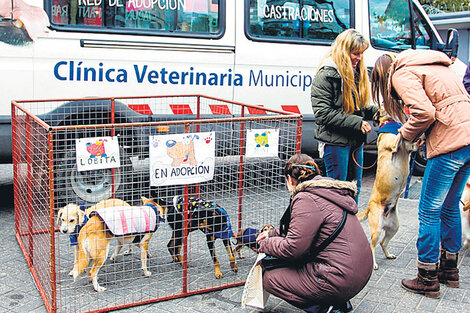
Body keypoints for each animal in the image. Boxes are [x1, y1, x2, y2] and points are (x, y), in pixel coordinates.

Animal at [358, 109, 416, 268]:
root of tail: (369, 207)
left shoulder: (410, 148)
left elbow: (413, 143)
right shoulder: (394, 144)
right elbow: (400, 136)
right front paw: (403, 128)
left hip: (394, 227)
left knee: (383, 243)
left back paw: (388, 254)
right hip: (377, 230)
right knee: (372, 246)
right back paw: (374, 264)